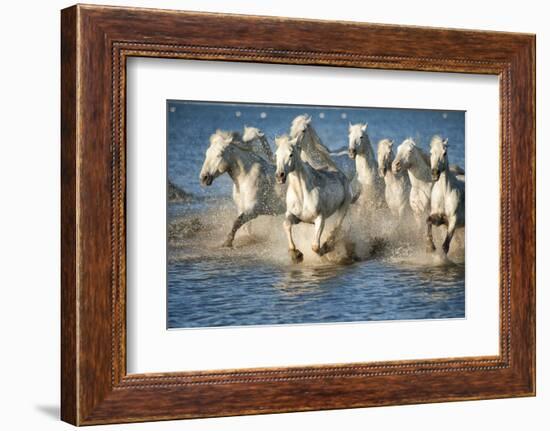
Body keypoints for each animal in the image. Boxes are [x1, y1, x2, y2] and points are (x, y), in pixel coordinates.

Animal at [276, 135, 354, 264]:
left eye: (291, 154)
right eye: (276, 154)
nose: (279, 176)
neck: (302, 194)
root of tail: (340, 173)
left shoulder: (320, 218)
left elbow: (315, 246)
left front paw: (322, 251)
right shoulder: (295, 217)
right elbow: (286, 224)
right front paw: (296, 255)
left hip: (344, 207)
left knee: (336, 227)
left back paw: (328, 247)